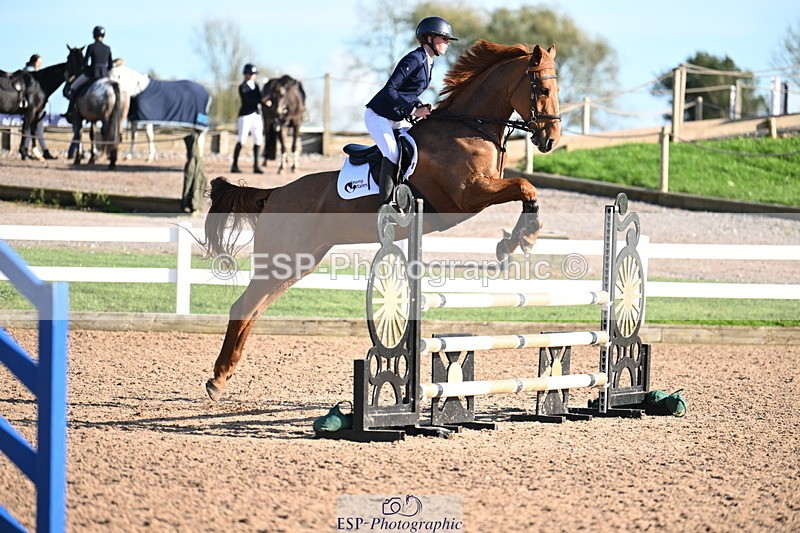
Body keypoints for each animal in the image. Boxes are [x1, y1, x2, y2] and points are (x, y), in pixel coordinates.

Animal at [202, 40, 561, 401]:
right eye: (543, 88)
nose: (550, 140)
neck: (469, 128)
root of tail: (275, 193)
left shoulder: (479, 193)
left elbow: (524, 191)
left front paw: (516, 241)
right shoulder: (468, 195)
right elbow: (524, 186)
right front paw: (522, 239)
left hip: (297, 263)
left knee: (253, 309)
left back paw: (224, 375)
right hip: (282, 258)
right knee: (243, 307)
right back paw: (217, 379)